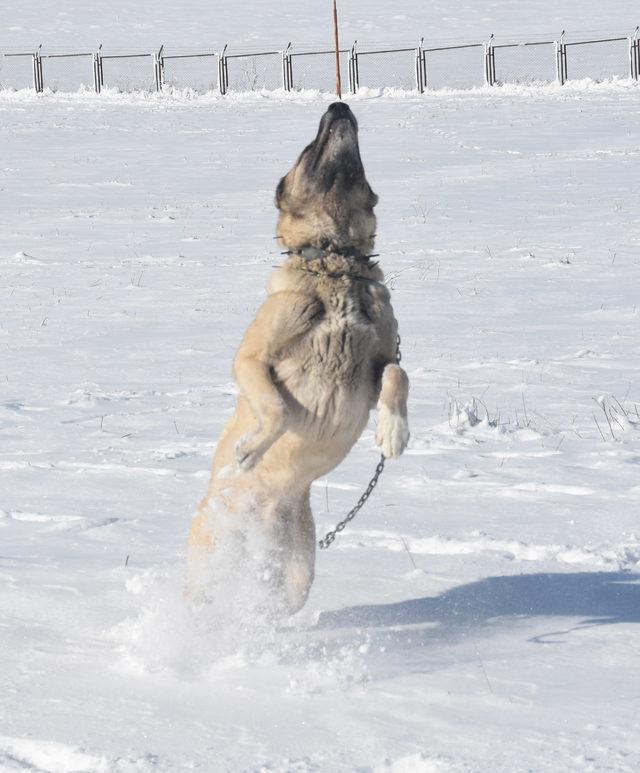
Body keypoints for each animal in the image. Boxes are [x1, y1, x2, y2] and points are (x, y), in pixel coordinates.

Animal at [189, 101, 410, 608]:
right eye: (308, 150)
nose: (339, 105)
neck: (336, 260)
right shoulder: (250, 360)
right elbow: (276, 408)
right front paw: (248, 450)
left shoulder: (379, 361)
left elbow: (398, 377)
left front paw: (394, 433)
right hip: (209, 556)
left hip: (298, 572)